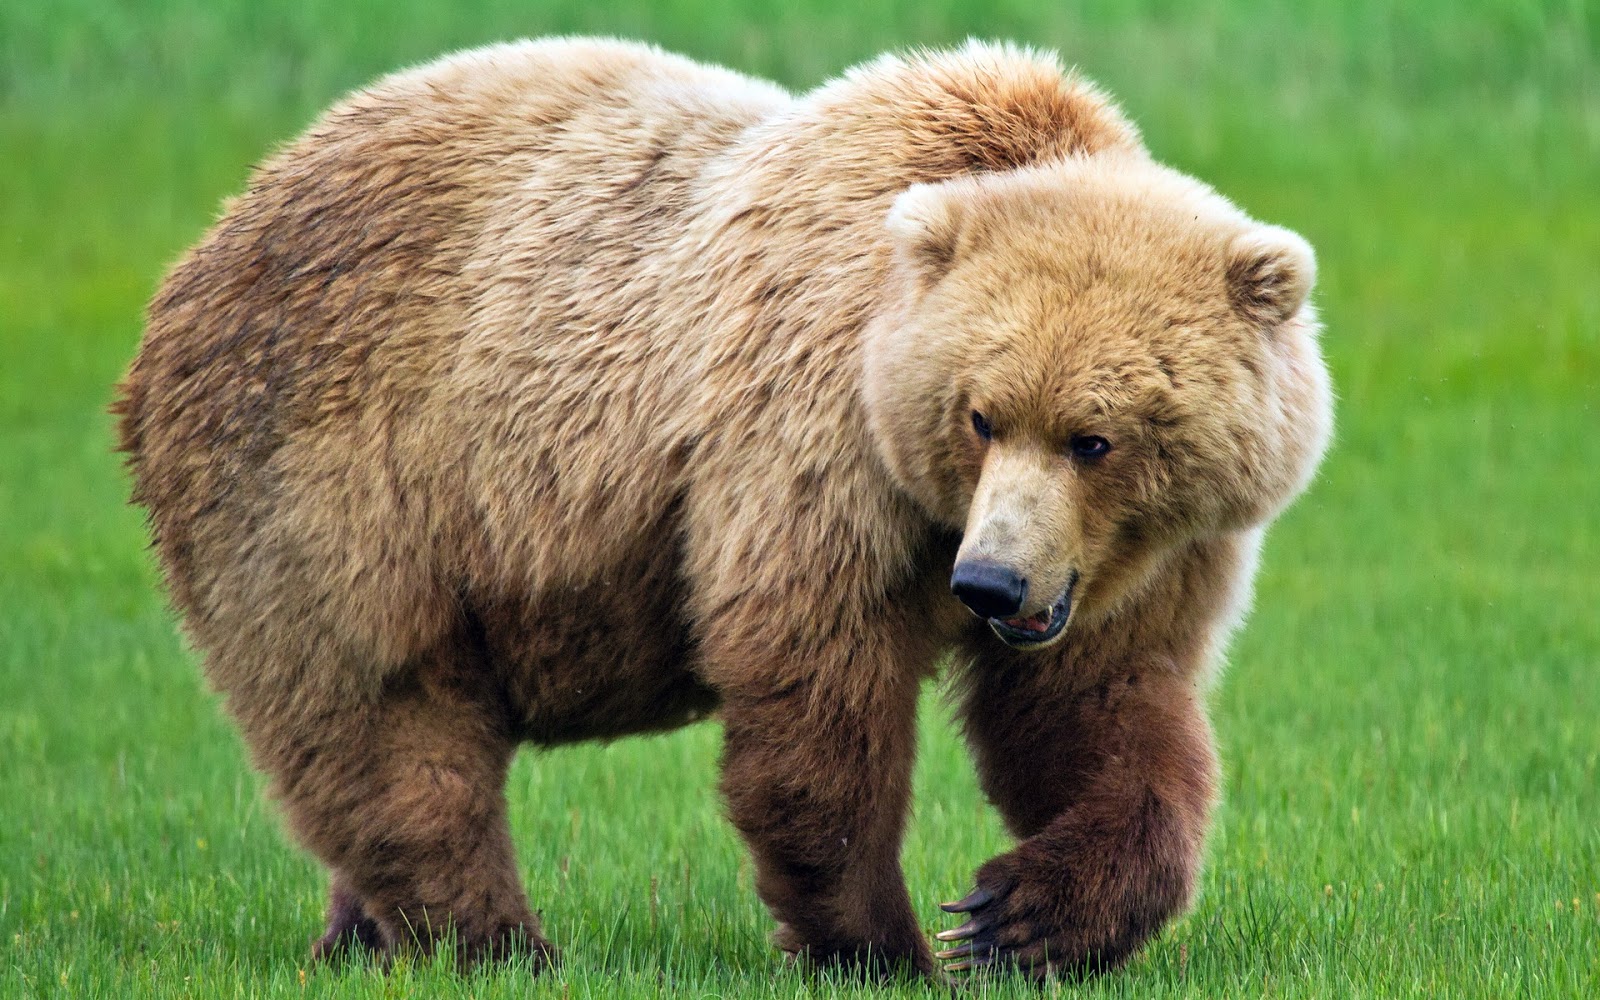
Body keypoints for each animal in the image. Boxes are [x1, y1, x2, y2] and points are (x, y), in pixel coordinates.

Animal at [113, 37, 1331, 981]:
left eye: (1095, 437)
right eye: (981, 415)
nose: (988, 585)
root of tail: (209, 240)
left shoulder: (1141, 555)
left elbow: (1101, 709)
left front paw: (1017, 914)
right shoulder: (812, 434)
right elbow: (814, 684)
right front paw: (883, 944)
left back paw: (359, 935)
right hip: (336, 472)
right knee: (387, 714)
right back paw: (496, 941)